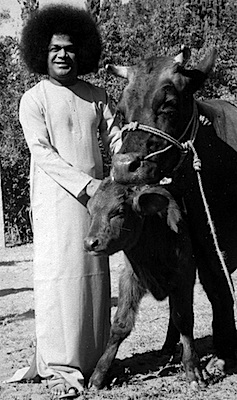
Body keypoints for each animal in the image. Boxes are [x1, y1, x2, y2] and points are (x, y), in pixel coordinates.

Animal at [84, 179, 201, 390]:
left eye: (119, 211)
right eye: (90, 210)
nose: (90, 243)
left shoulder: (185, 277)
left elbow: (184, 320)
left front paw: (192, 368)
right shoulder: (129, 279)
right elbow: (120, 325)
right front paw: (98, 375)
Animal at [107, 47, 237, 368]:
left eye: (168, 104)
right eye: (120, 111)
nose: (124, 166)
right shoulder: (200, 245)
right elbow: (213, 292)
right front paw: (222, 351)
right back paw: (169, 346)